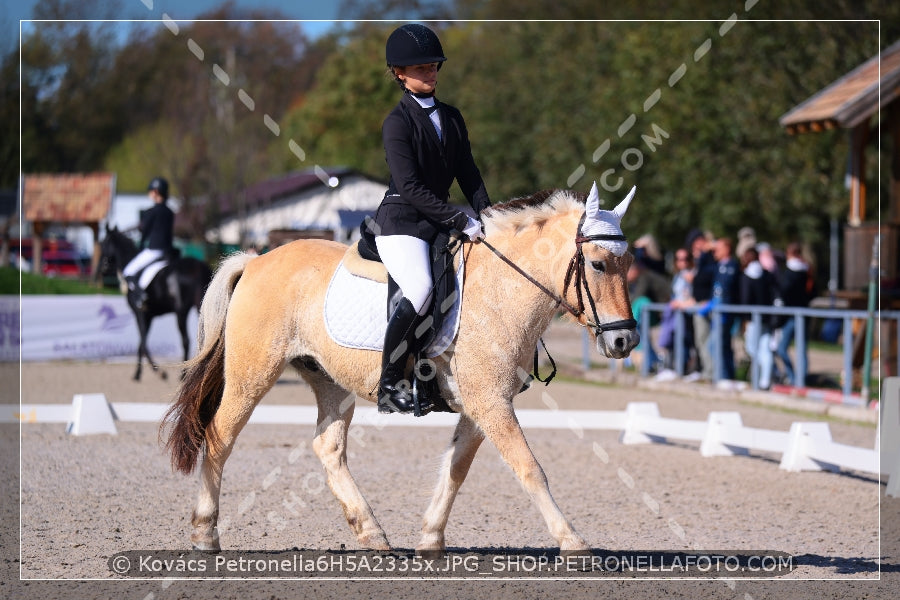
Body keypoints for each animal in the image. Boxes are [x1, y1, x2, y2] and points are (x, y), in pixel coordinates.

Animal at [98, 225, 213, 380]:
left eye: (104, 243)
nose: (102, 268)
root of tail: (197, 267)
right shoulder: (149, 316)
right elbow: (141, 344)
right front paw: (138, 373)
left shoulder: (140, 313)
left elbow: (143, 343)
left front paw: (158, 372)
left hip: (181, 311)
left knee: (186, 340)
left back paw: (183, 375)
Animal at [162, 183, 640, 556]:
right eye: (598, 263)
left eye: (629, 262)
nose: (625, 341)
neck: (501, 289)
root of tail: (255, 260)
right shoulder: (491, 402)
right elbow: (530, 469)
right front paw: (574, 543)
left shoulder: (479, 404)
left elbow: (455, 470)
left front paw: (430, 539)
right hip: (253, 373)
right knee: (219, 435)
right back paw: (204, 534)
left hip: (329, 380)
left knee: (328, 448)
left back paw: (372, 534)